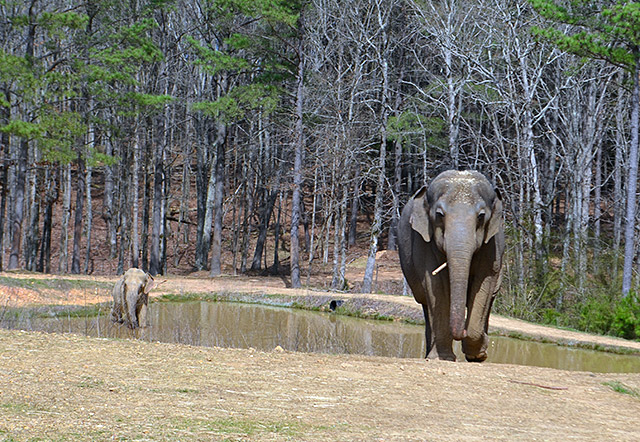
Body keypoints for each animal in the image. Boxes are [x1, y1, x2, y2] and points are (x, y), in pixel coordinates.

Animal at [398, 171, 502, 360]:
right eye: (439, 214)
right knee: (426, 304)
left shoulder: (493, 245)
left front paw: (477, 353)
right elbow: (436, 285)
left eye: (481, 216)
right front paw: (443, 358)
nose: (462, 332)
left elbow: (485, 283)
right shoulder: (424, 242)